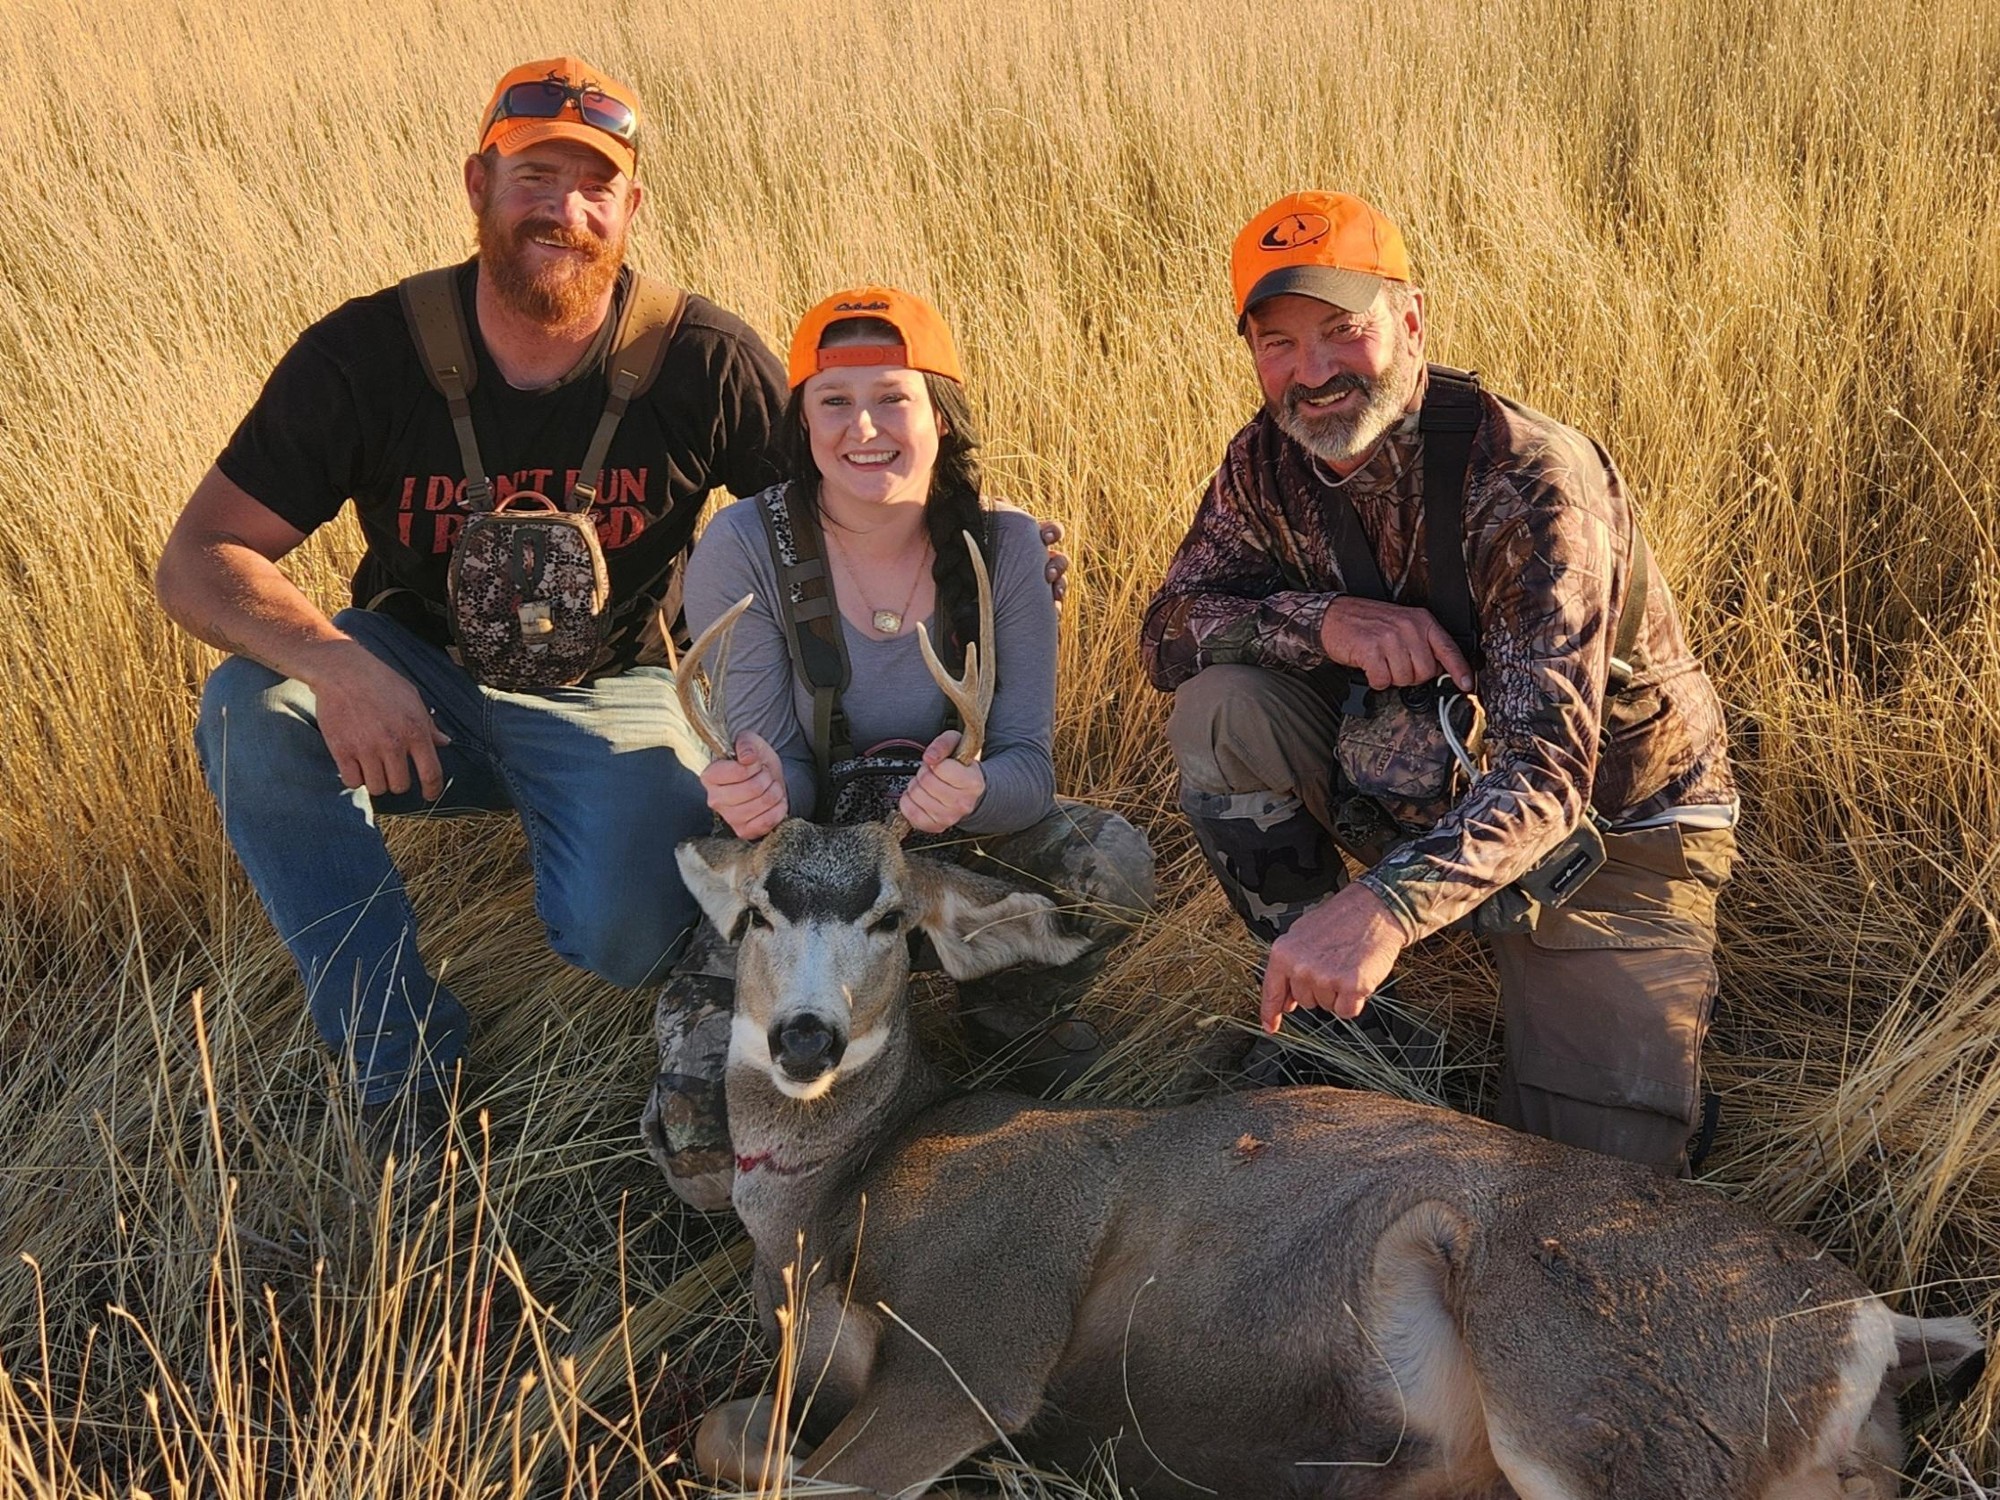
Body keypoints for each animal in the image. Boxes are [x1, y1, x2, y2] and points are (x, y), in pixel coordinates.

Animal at [665, 541, 1982, 1500]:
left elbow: (781, 1468)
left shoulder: (982, 1332)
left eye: (892, 918)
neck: (836, 1208)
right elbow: (726, 1428)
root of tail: (1871, 1325)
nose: (801, 1039)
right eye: (754, 913)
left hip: (1596, 1398)